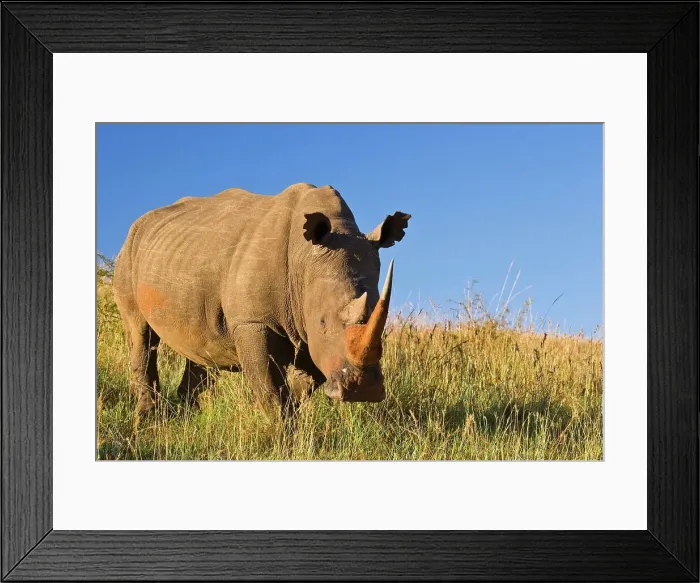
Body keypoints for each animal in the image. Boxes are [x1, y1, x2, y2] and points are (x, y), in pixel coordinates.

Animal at [112, 182, 411, 418]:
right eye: (324, 322)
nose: (364, 390)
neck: (305, 259)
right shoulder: (254, 322)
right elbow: (272, 390)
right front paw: (282, 436)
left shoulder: (308, 329)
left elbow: (300, 387)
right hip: (128, 254)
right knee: (140, 334)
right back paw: (149, 419)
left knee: (198, 345)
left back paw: (188, 418)